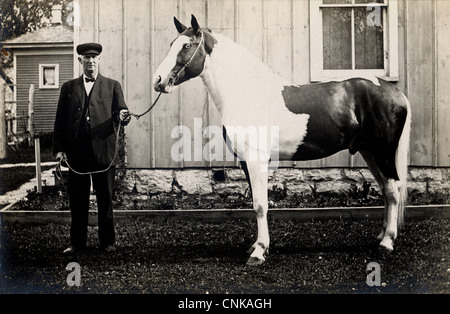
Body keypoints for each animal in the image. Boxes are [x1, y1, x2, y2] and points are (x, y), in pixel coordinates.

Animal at [154, 14, 412, 264]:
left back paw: (387, 242)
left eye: (186, 45)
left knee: (393, 189)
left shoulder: (257, 160)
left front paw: (259, 252)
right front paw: (256, 246)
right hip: (369, 151)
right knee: (385, 189)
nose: (158, 80)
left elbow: (260, 205)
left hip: (383, 152)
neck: (246, 93)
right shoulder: (247, 162)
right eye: (171, 44)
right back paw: (380, 235)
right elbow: (256, 203)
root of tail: (395, 93)